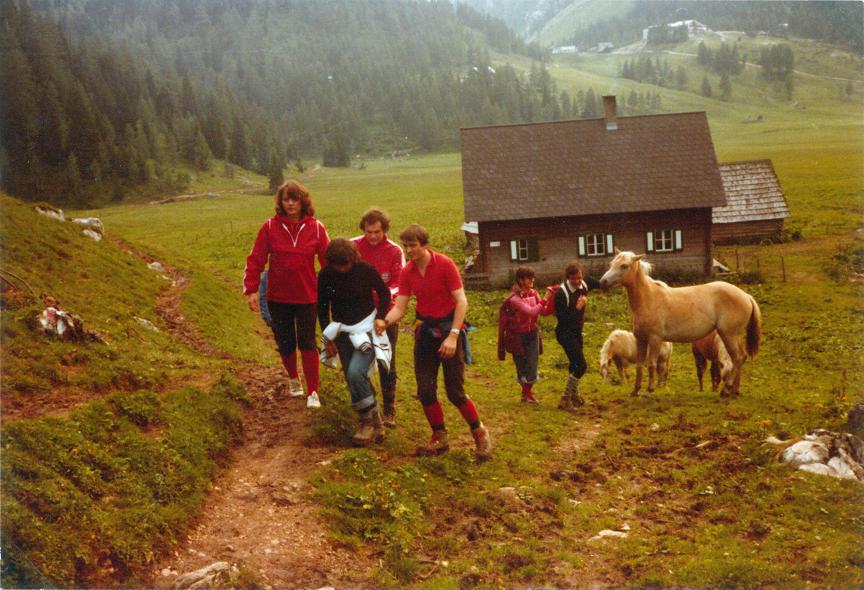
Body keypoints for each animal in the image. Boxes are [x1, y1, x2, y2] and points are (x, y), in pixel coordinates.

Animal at [596, 250, 760, 398]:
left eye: (624, 265)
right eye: (612, 263)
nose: (602, 282)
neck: (648, 298)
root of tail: (746, 296)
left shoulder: (655, 339)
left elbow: (651, 364)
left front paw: (649, 390)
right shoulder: (640, 339)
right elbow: (639, 365)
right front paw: (635, 391)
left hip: (729, 335)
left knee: (738, 358)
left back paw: (726, 390)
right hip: (733, 336)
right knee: (740, 358)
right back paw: (734, 391)